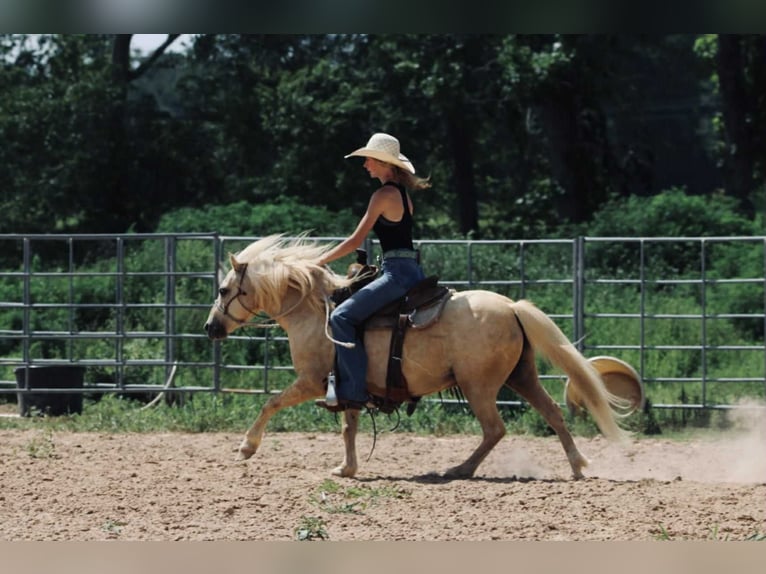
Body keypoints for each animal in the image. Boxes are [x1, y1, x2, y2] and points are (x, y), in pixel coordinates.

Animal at [204, 235, 630, 479]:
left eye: (224, 290)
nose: (210, 328)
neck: (316, 311)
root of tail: (511, 307)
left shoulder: (311, 381)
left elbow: (271, 403)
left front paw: (246, 447)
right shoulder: (349, 387)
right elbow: (348, 428)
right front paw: (347, 468)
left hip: (479, 386)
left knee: (495, 429)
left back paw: (459, 469)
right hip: (520, 376)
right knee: (552, 414)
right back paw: (577, 465)